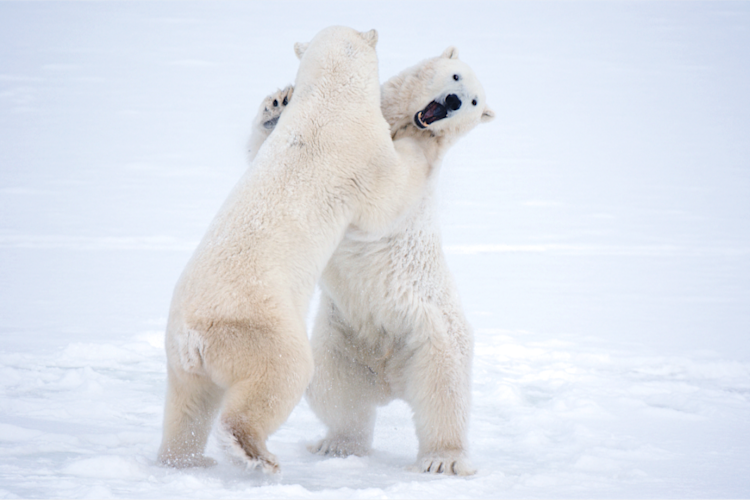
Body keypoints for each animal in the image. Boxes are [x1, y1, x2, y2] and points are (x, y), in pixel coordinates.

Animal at [157, 26, 434, 474]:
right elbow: (386, 201)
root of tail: (193, 336)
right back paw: (254, 452)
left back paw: (184, 460)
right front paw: (421, 144)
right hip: (258, 329)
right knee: (281, 375)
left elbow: (255, 149)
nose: (280, 99)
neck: (331, 99)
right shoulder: (362, 151)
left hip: (180, 357)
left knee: (188, 405)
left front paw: (277, 103)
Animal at [250, 47, 494, 475]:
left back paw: (442, 459)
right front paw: (277, 105)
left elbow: (382, 198)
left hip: (433, 337)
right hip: (340, 340)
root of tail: (389, 375)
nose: (453, 101)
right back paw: (337, 444)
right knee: (338, 393)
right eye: (456, 77)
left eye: (475, 102)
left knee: (442, 397)